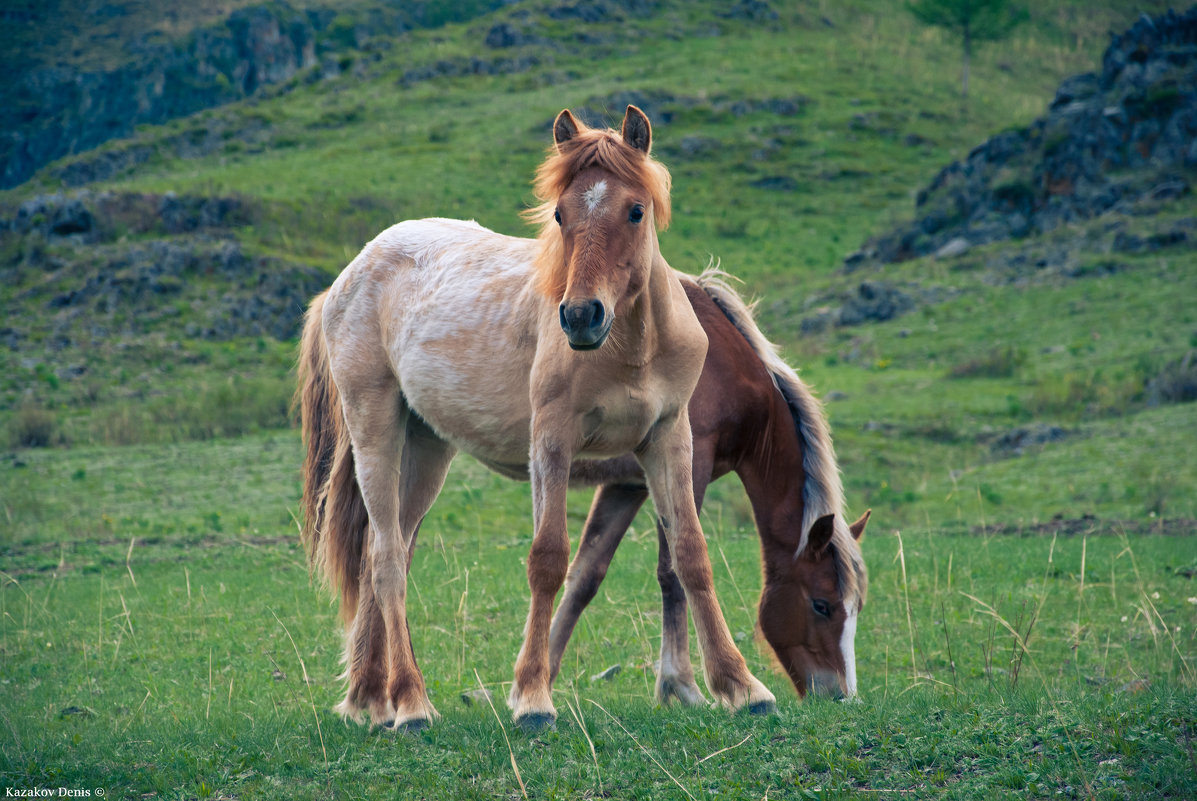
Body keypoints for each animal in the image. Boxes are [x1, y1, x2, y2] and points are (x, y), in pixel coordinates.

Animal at [299, 105, 775, 732]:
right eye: (558, 212)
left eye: (636, 210)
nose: (579, 316)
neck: (631, 347)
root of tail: (347, 275)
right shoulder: (552, 440)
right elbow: (548, 560)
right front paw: (531, 697)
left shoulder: (669, 439)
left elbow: (691, 556)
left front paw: (742, 686)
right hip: (374, 428)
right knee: (384, 559)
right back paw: (411, 705)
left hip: (426, 447)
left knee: (394, 547)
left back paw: (372, 701)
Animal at [545, 270, 871, 699]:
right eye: (822, 604)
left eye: (856, 607)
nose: (841, 695)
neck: (722, 366)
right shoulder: (689, 468)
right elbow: (673, 573)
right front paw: (679, 686)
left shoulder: (627, 485)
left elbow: (585, 576)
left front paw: (540, 678)